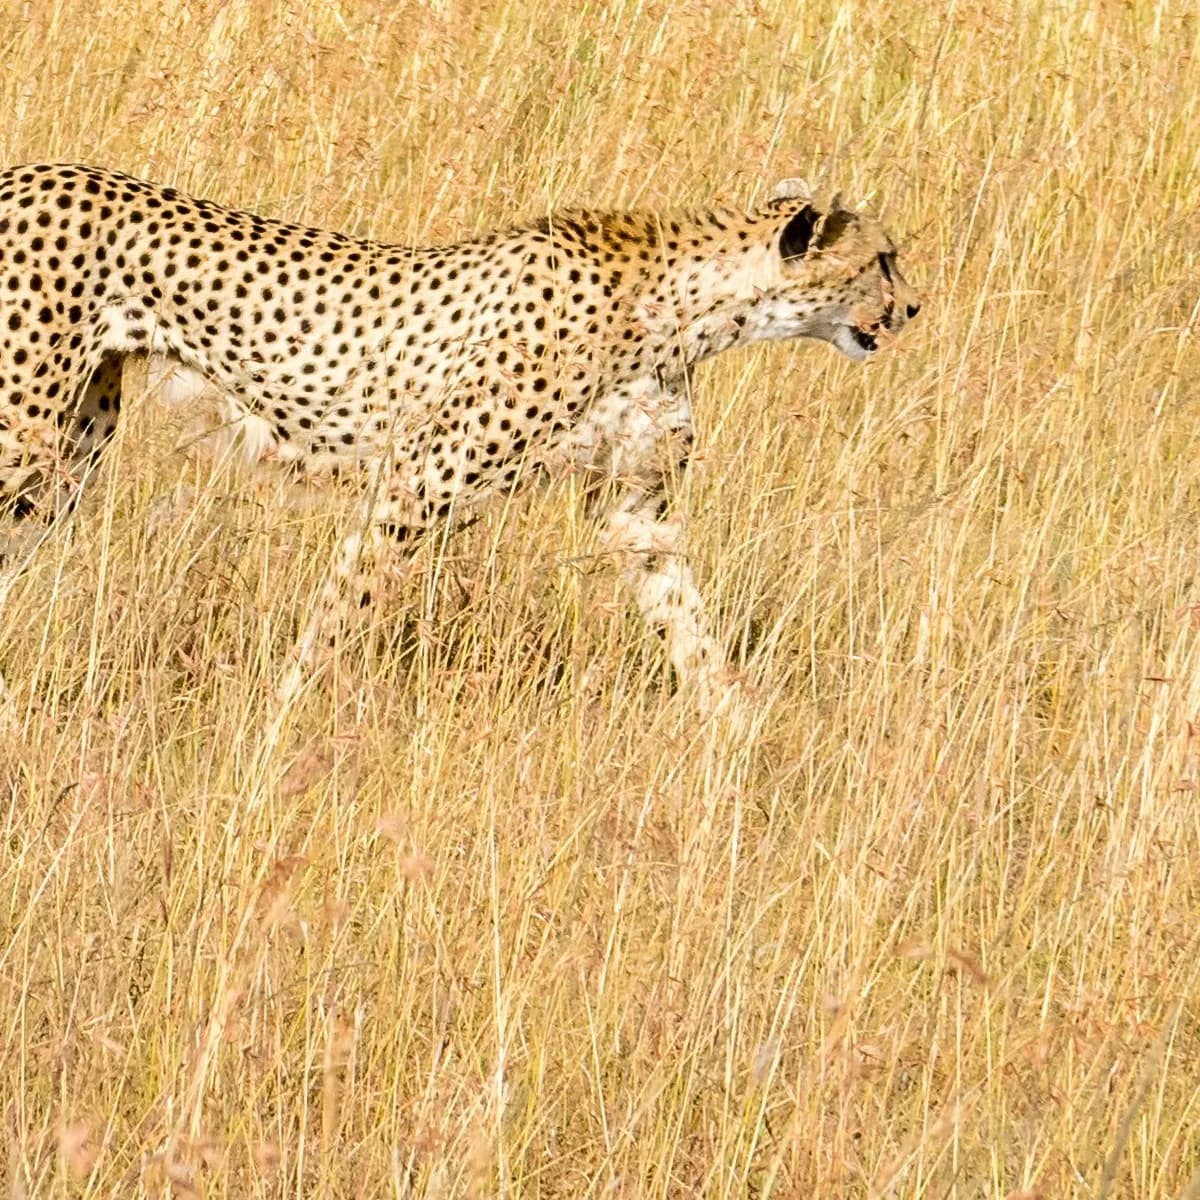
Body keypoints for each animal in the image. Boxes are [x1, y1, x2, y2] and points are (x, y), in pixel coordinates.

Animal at [0, 163, 920, 714]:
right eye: (882, 260)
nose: (914, 306)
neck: (687, 309)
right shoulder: (416, 484)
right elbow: (339, 620)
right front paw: (281, 729)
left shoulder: (638, 509)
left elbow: (691, 625)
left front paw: (740, 734)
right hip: (27, 437)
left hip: (71, 448)